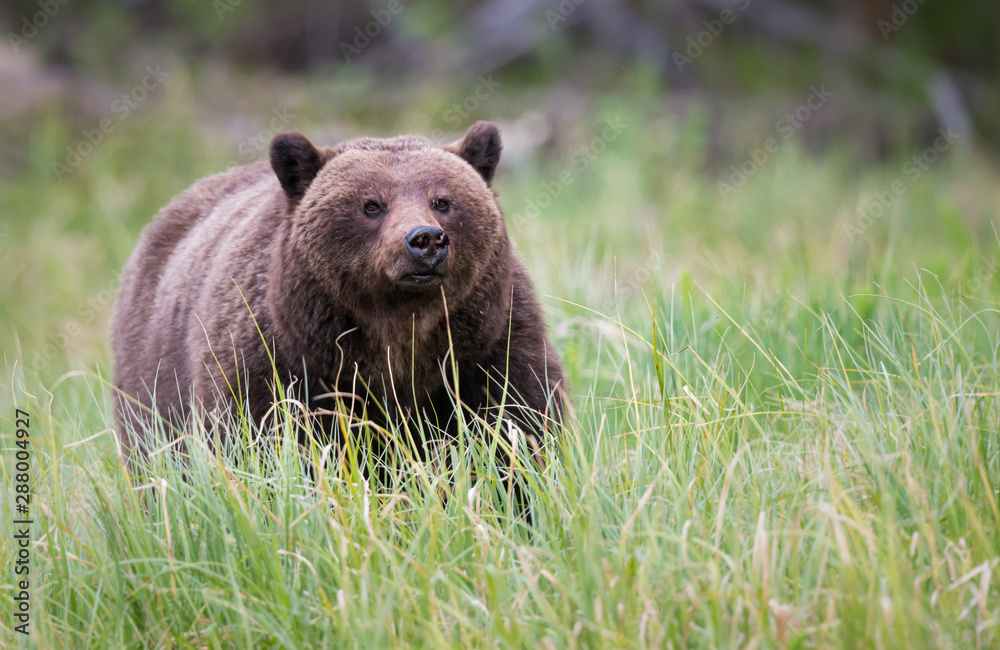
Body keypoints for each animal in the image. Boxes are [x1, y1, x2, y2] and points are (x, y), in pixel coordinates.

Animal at [111, 121, 564, 473]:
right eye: (371, 204)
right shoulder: (278, 362)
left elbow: (519, 429)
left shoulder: (487, 345)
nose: (425, 240)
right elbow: (263, 445)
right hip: (151, 378)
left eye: (442, 200)